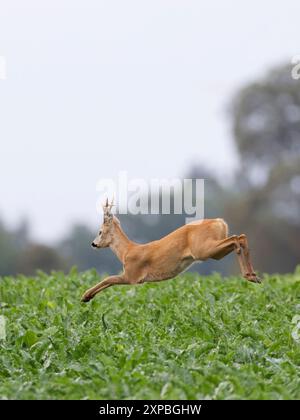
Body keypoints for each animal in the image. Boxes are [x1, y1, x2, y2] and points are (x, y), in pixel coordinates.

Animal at [81, 200, 258, 302]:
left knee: (237, 239)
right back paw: (252, 276)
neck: (127, 252)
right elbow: (109, 280)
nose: (93, 244)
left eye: (100, 232)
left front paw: (85, 296)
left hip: (204, 249)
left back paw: (250, 275)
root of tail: (220, 222)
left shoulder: (133, 275)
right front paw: (87, 296)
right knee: (240, 237)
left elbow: (108, 279)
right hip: (214, 252)